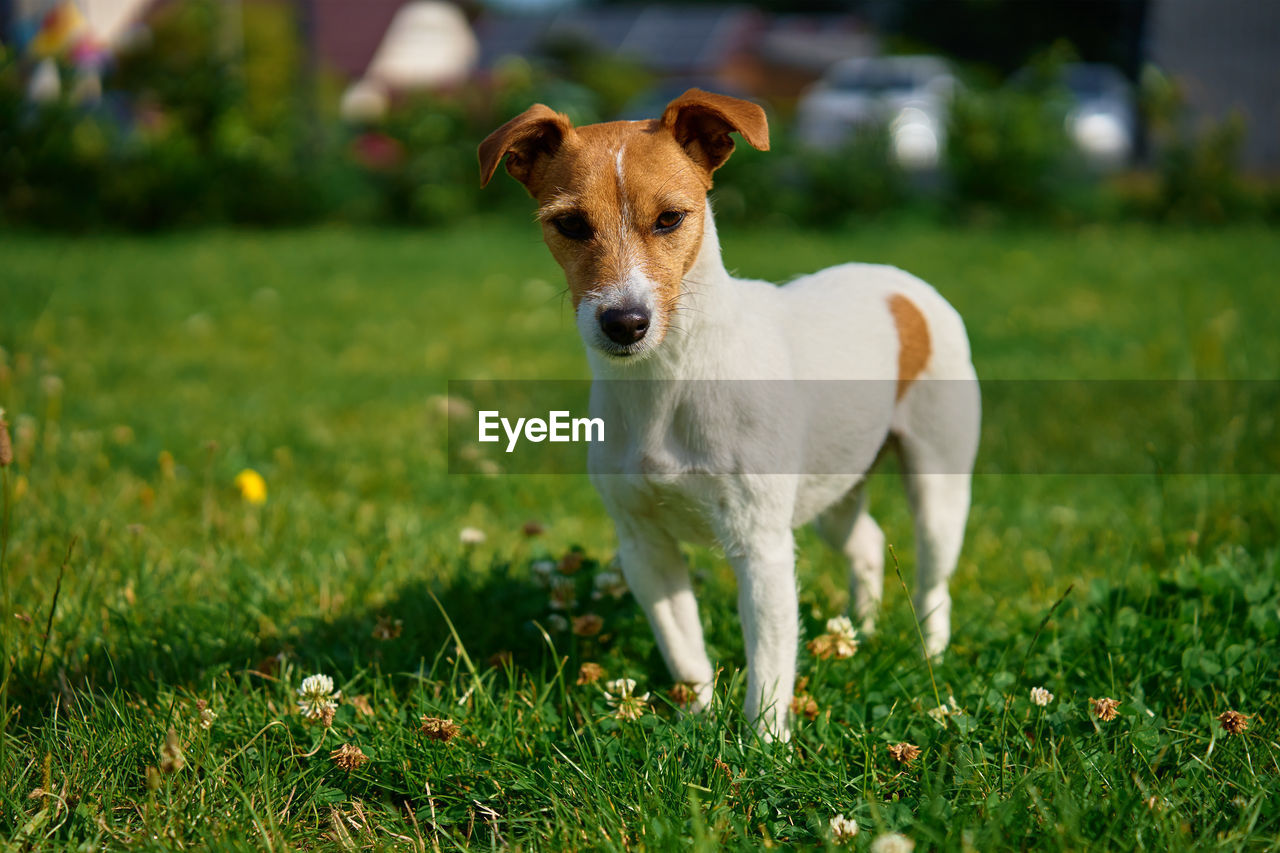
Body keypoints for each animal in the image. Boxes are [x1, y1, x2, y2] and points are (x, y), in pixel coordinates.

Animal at [481, 87, 977, 737]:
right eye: (569, 224)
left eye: (671, 218)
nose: (624, 323)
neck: (668, 382)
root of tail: (896, 280)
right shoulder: (645, 548)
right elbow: (685, 650)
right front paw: (697, 718)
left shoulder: (760, 546)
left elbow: (768, 666)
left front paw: (765, 746)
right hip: (834, 486)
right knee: (867, 543)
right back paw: (862, 633)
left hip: (938, 484)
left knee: (934, 579)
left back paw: (932, 655)